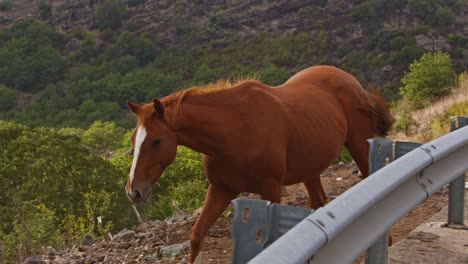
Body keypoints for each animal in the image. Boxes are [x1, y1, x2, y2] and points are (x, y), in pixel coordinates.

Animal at [125, 65, 394, 262]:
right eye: (133, 140)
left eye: (156, 141)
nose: (133, 191)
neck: (233, 131)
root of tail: (347, 77)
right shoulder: (220, 190)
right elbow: (196, 236)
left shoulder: (271, 189)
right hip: (310, 170)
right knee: (318, 203)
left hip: (359, 146)